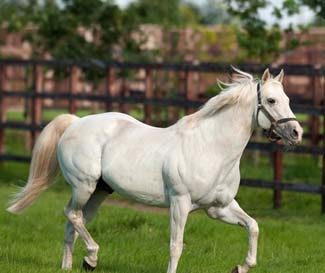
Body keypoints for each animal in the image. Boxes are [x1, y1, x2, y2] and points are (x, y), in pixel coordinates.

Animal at [7, 66, 302, 272]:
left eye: (287, 98)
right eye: (272, 101)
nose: (297, 133)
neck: (211, 148)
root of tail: (75, 123)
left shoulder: (218, 208)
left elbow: (253, 227)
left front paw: (240, 267)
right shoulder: (180, 203)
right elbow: (176, 246)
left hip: (99, 191)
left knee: (73, 222)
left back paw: (74, 265)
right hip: (84, 185)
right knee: (71, 214)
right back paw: (91, 257)